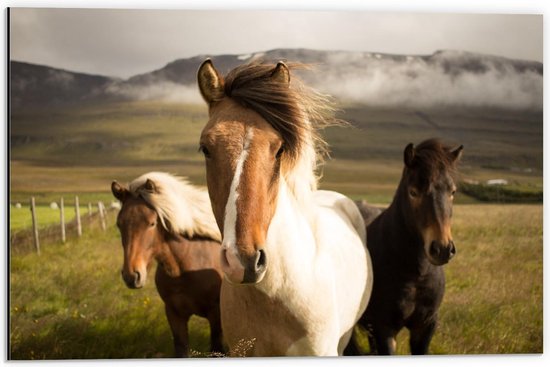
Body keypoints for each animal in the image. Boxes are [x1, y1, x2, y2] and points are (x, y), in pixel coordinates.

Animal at [111, 173, 225, 360]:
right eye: (119, 224)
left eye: (151, 223)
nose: (131, 276)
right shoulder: (174, 314)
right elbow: (181, 349)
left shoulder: (216, 315)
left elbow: (218, 349)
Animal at [348, 139, 464, 356]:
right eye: (413, 192)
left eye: (452, 192)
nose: (442, 249)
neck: (415, 274)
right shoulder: (384, 329)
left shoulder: (425, 326)